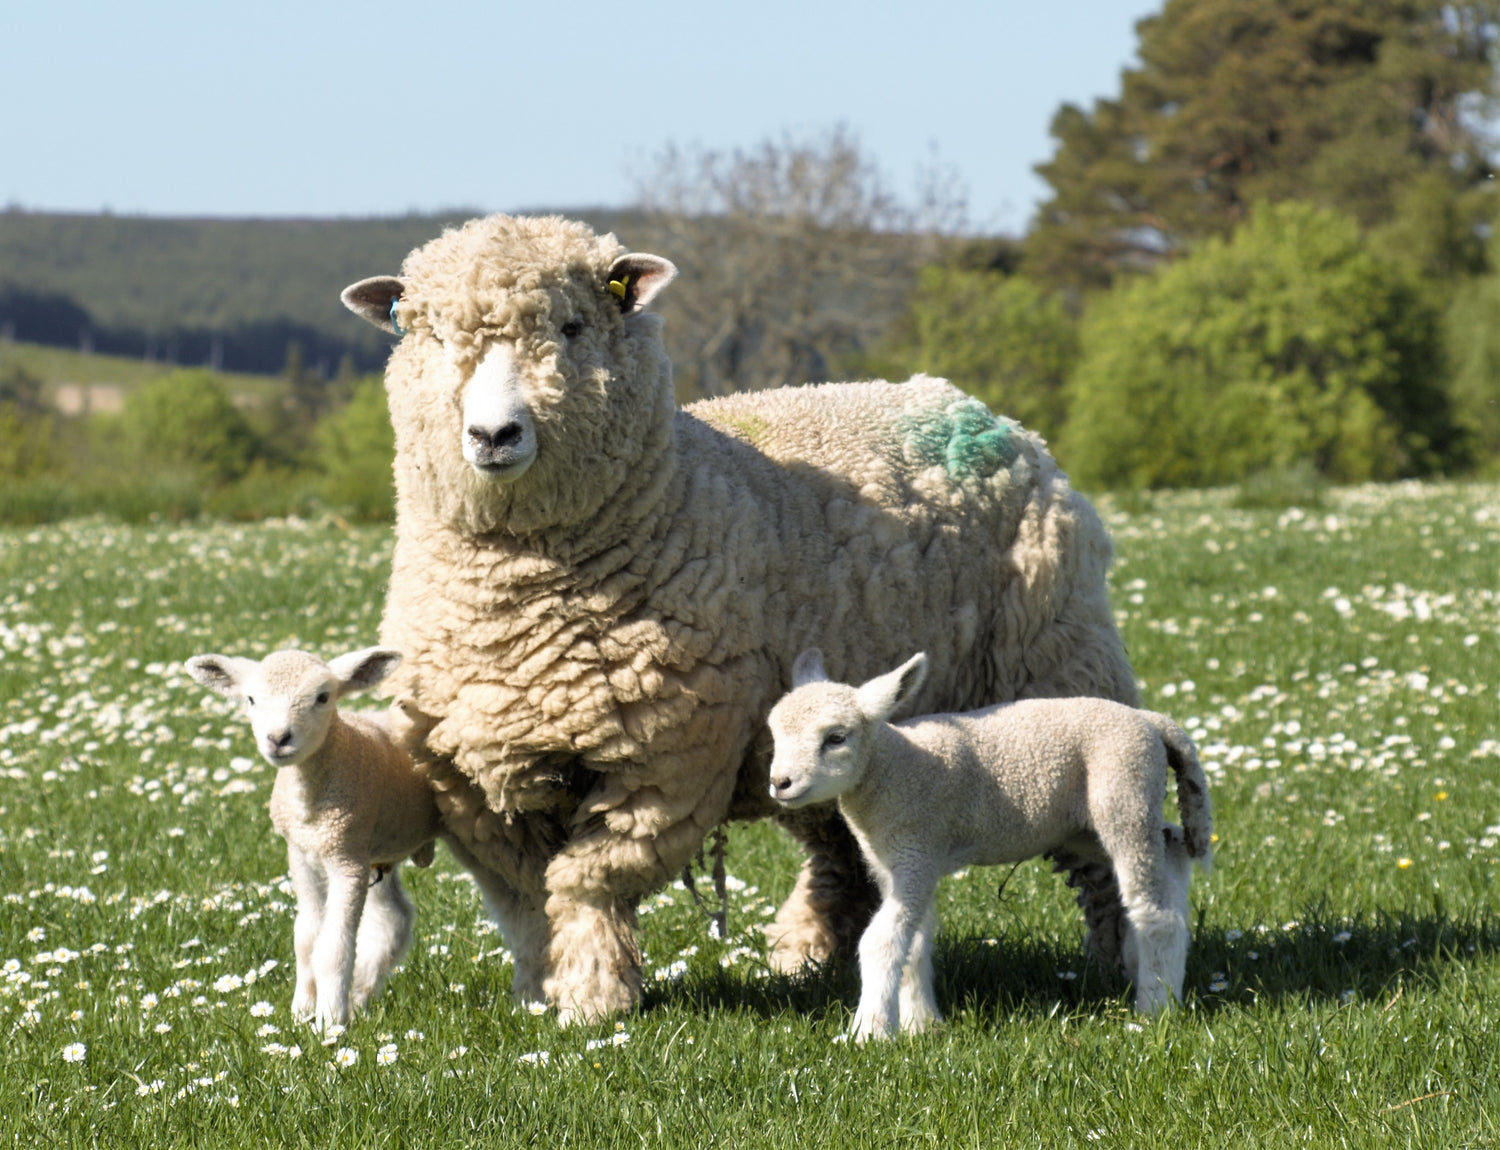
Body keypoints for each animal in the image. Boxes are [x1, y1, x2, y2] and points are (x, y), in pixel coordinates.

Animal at [185, 647, 442, 1029]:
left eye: (323, 697)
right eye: (250, 699)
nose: (278, 739)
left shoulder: (346, 857)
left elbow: (333, 947)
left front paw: (329, 1022)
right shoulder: (303, 853)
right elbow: (305, 940)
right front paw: (301, 1010)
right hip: (379, 848)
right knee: (393, 918)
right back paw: (361, 996)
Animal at [338, 212, 1139, 1023]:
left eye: (570, 327)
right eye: (433, 335)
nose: (493, 436)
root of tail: (972, 406)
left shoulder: (663, 762)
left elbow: (590, 881)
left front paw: (593, 997)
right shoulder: (474, 779)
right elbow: (529, 899)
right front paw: (541, 992)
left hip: (1063, 665)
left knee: (1105, 849)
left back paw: (1120, 965)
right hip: (824, 740)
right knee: (840, 852)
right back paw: (807, 955)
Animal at [767, 649, 1212, 1041]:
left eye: (836, 737)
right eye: (774, 734)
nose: (779, 783)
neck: (891, 767)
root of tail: (1150, 720)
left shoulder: (915, 850)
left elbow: (882, 940)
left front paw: (869, 1032)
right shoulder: (898, 861)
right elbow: (915, 941)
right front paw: (921, 1025)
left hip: (1124, 795)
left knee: (1153, 910)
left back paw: (1154, 1007)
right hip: (1086, 826)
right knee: (1172, 851)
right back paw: (1167, 985)